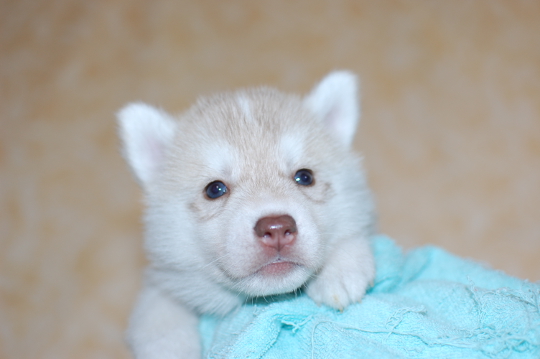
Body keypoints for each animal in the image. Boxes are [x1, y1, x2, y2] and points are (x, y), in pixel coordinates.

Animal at [117, 71, 376, 358]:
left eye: (305, 176)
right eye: (215, 189)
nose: (276, 228)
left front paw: (340, 270)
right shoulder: (164, 276)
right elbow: (157, 308)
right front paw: (170, 344)